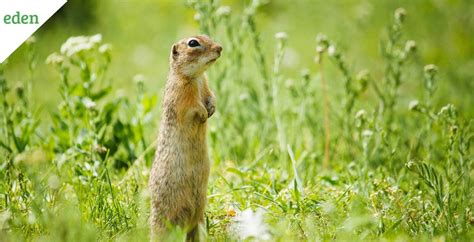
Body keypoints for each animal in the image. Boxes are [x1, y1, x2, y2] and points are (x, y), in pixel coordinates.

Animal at [148, 35, 222, 241]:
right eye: (193, 43)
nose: (220, 48)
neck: (195, 77)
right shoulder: (181, 94)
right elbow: (193, 107)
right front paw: (204, 114)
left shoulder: (205, 84)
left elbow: (211, 96)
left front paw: (212, 109)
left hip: (199, 220)